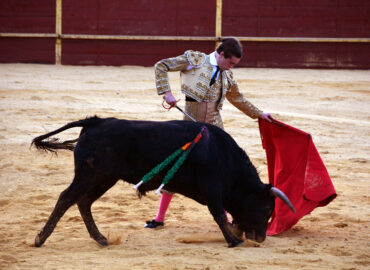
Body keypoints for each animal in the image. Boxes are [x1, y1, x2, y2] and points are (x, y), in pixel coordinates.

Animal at [32, 117, 294, 248]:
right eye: (267, 209)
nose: (261, 238)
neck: (224, 155)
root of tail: (95, 121)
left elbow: (223, 215)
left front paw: (234, 235)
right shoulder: (212, 188)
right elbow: (219, 214)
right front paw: (233, 240)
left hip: (105, 178)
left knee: (83, 202)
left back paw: (101, 239)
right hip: (91, 174)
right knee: (67, 198)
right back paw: (40, 239)